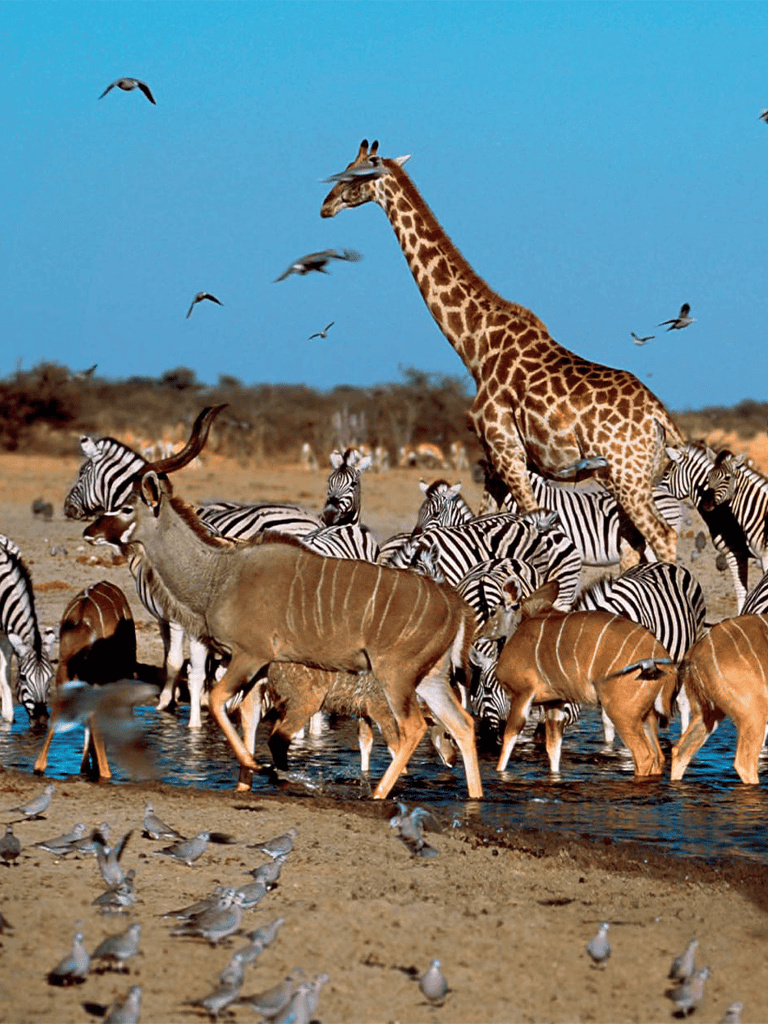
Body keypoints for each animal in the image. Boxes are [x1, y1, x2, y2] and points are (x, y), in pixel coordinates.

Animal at [0, 534, 53, 727]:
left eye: (50, 677)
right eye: (23, 677)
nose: (41, 720)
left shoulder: (6, 635)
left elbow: (5, 673)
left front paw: (8, 718)